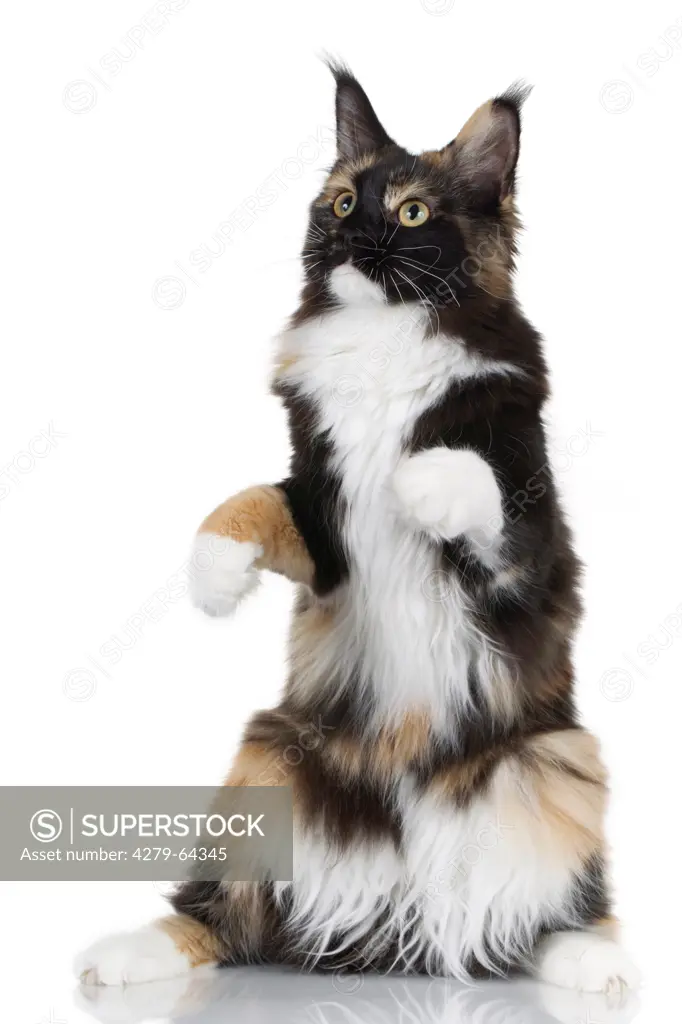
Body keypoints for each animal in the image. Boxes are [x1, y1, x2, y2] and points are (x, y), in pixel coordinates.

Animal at [75, 59, 638, 995]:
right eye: (341, 201)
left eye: (409, 212)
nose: (350, 234)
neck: (385, 335)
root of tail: (409, 896)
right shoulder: (319, 517)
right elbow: (251, 501)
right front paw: (214, 573)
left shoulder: (532, 541)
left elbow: (471, 480)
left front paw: (413, 481)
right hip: (265, 759)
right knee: (226, 913)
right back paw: (126, 954)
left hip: (554, 762)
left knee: (550, 911)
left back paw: (595, 962)